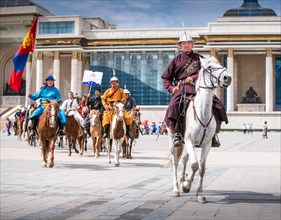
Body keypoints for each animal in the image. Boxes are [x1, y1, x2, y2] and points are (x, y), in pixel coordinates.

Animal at [168, 56, 232, 203]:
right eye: (209, 68)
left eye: (220, 64)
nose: (227, 78)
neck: (202, 112)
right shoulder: (190, 140)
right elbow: (195, 165)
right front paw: (186, 185)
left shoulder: (206, 144)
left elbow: (201, 168)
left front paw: (199, 193)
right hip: (174, 140)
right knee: (175, 162)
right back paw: (176, 188)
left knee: (184, 159)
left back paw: (182, 180)